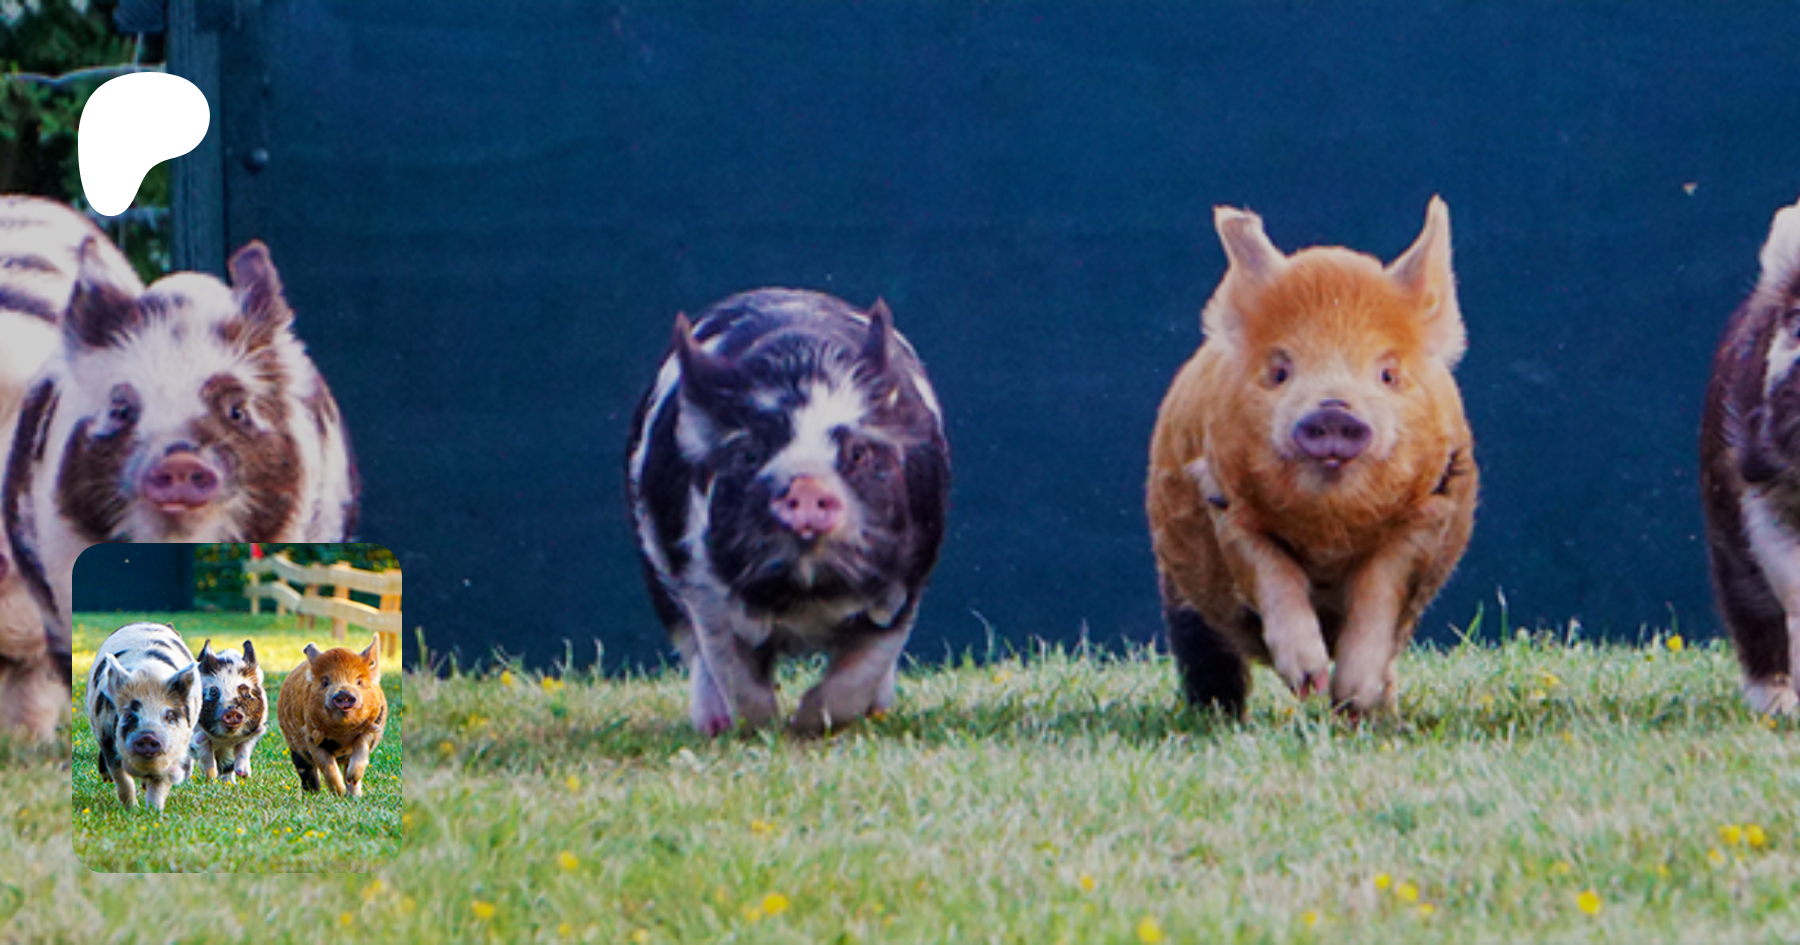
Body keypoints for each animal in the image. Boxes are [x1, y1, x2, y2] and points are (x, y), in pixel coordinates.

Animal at [86, 622, 202, 811]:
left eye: (170, 715)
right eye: (129, 715)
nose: (148, 736)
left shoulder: (174, 750)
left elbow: (160, 785)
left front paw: (153, 811)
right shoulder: (106, 738)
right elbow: (122, 779)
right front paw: (131, 809)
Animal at [189, 639, 268, 783]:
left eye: (246, 693)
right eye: (213, 691)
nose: (232, 711)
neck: (225, 739)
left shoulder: (258, 730)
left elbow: (243, 748)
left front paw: (243, 774)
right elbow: (202, 742)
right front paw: (211, 774)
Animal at [277, 634, 386, 796]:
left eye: (359, 682)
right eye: (325, 683)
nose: (344, 693)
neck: (343, 735)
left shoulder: (372, 728)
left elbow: (361, 750)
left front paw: (352, 778)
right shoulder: (311, 736)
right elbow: (327, 765)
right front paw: (339, 792)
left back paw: (354, 795)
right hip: (295, 749)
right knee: (307, 772)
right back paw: (313, 794)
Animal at [626, 289, 951, 736]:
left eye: (858, 453)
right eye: (749, 454)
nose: (807, 485)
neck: (806, 596)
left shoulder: (906, 576)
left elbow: (862, 669)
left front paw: (810, 724)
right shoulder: (701, 582)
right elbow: (733, 672)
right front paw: (765, 729)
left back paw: (877, 711)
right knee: (693, 650)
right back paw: (713, 725)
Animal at [1146, 197, 1477, 718]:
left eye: (1388, 373)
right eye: (1280, 371)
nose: (1334, 409)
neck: (1329, 537)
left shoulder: (1427, 512)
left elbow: (1379, 591)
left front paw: (1350, 698)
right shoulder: (1223, 503)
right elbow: (1272, 572)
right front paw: (1309, 682)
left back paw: (1379, 714)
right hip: (1178, 587)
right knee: (1205, 654)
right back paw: (1216, 716)